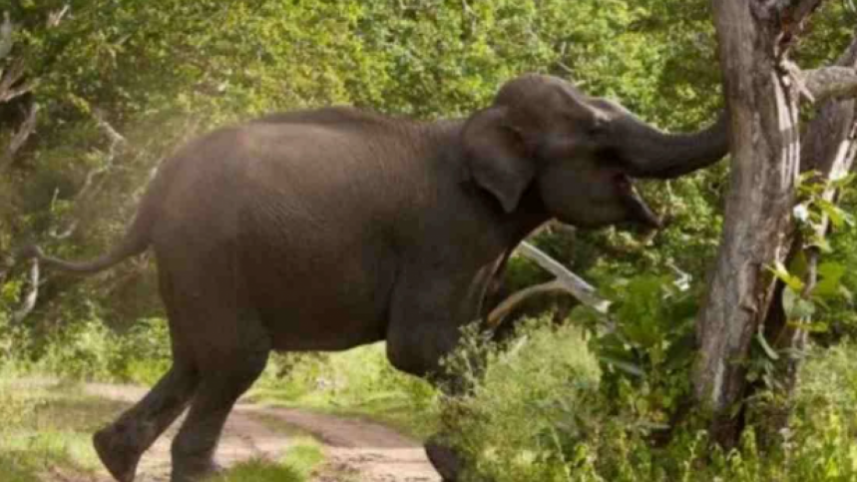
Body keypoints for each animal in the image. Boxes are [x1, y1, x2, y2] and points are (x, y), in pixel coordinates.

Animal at [20, 73, 729, 482]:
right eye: (598, 132)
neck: (477, 126)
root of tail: (153, 188)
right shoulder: (447, 232)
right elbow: (420, 349)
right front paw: (458, 457)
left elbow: (457, 345)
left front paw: (459, 454)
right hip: (210, 253)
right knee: (235, 360)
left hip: (191, 265)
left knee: (192, 360)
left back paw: (115, 454)